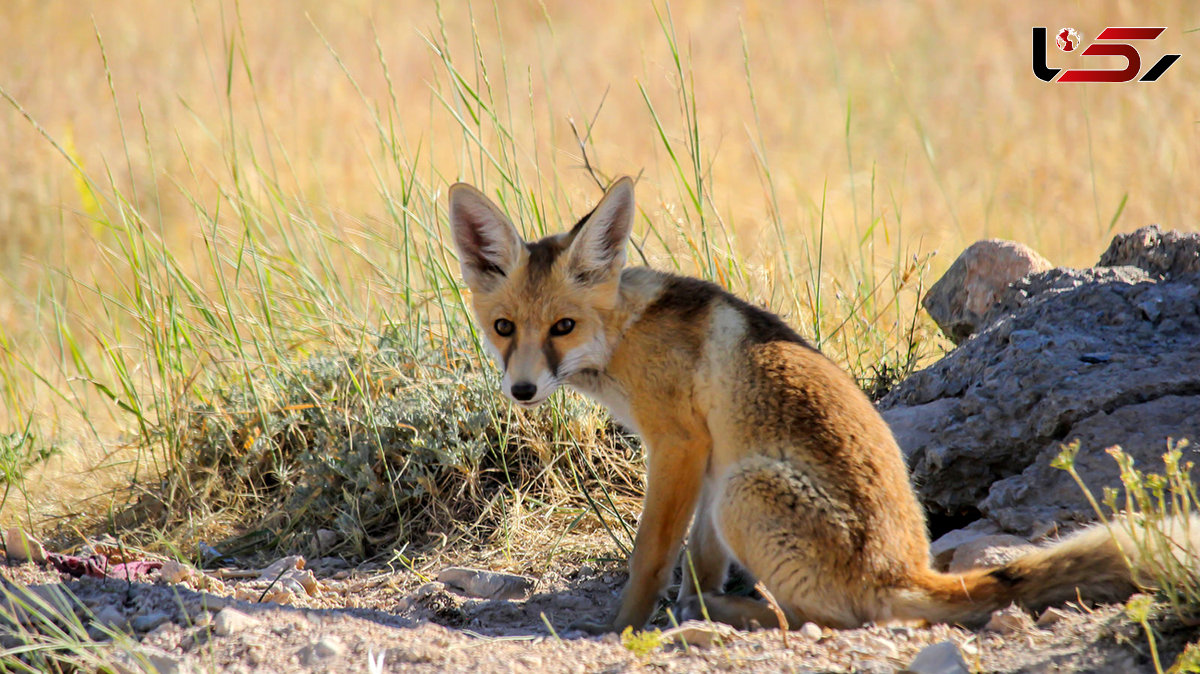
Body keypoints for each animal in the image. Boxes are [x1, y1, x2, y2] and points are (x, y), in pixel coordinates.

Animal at [448, 176, 1180, 633]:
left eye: (562, 327)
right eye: (505, 328)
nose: (521, 391)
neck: (625, 335)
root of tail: (905, 569)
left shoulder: (680, 446)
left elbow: (649, 558)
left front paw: (619, 630)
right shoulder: (707, 459)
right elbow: (698, 566)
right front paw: (684, 606)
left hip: (745, 490)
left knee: (813, 619)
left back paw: (736, 618)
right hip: (733, 489)